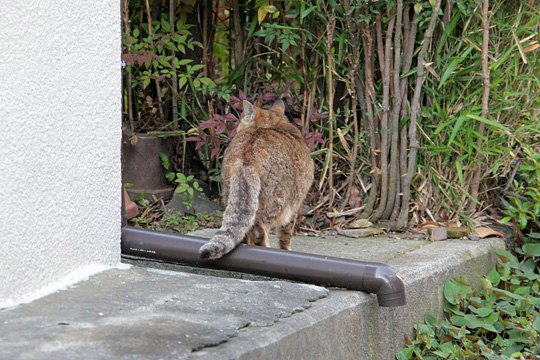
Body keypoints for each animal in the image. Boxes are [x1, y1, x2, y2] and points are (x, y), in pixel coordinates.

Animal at [199, 100, 314, 260]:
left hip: (233, 195)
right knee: (260, 231)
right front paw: (286, 250)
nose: (236, 129)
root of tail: (247, 157)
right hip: (275, 202)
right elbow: (286, 234)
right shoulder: (295, 206)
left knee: (244, 231)